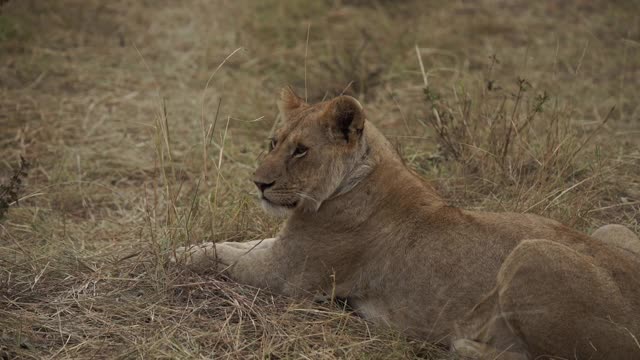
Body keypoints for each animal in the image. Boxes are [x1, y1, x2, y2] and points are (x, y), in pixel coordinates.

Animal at [174, 88, 640, 360]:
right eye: (274, 142)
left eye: (301, 150)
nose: (259, 183)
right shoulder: (284, 253)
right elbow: (239, 243)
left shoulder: (288, 275)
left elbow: (225, 255)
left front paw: (180, 254)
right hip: (610, 230)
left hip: (533, 252)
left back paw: (462, 345)